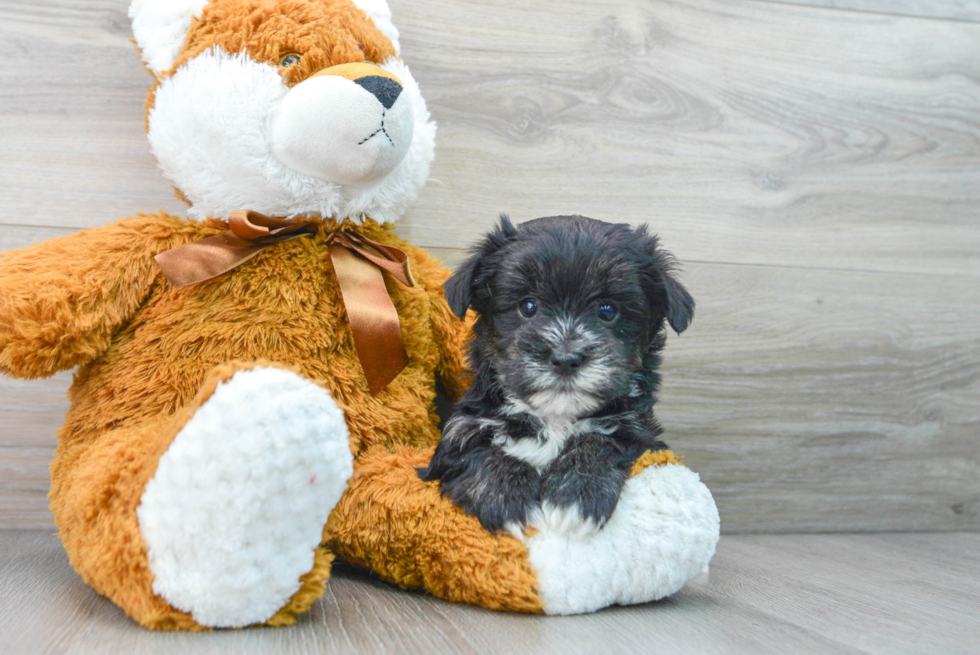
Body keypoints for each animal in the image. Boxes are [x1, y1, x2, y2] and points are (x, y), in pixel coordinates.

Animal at [424, 215, 696, 540]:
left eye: (608, 310)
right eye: (528, 306)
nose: (566, 359)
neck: (554, 417)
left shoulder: (641, 433)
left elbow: (599, 438)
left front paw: (576, 497)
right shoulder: (461, 429)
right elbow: (479, 451)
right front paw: (509, 500)